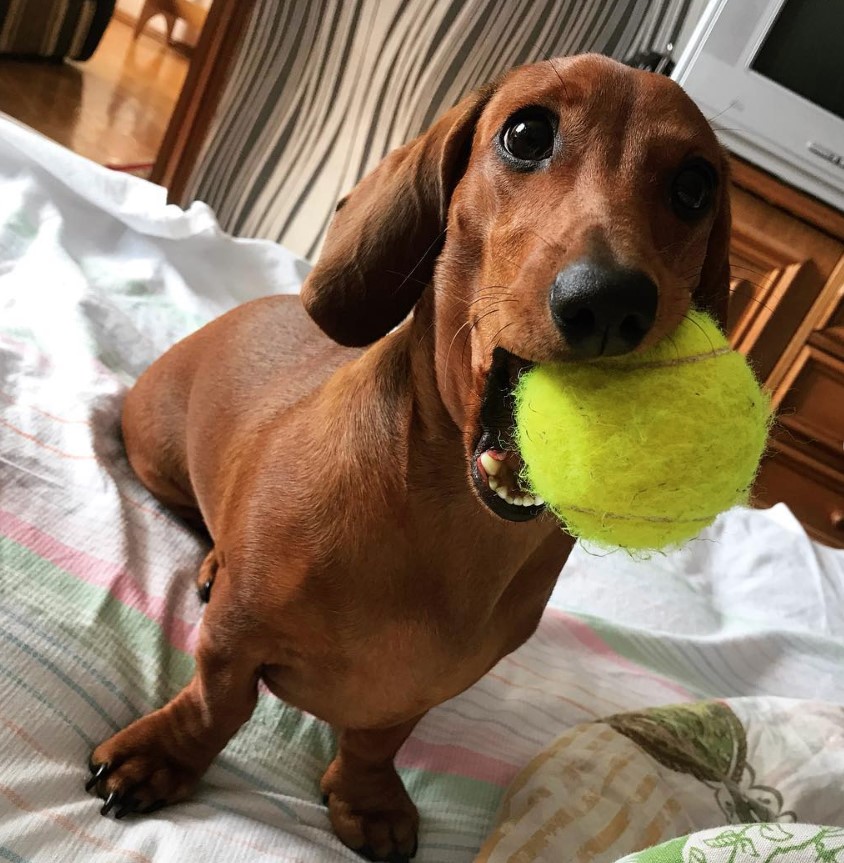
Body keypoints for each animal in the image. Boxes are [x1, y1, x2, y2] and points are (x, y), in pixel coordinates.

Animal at [84, 55, 732, 863]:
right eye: (526, 133)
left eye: (695, 186)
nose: (610, 304)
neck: (451, 531)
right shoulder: (234, 641)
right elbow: (217, 701)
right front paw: (164, 755)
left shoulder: (428, 688)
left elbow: (378, 738)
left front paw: (367, 798)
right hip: (153, 454)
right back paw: (209, 564)